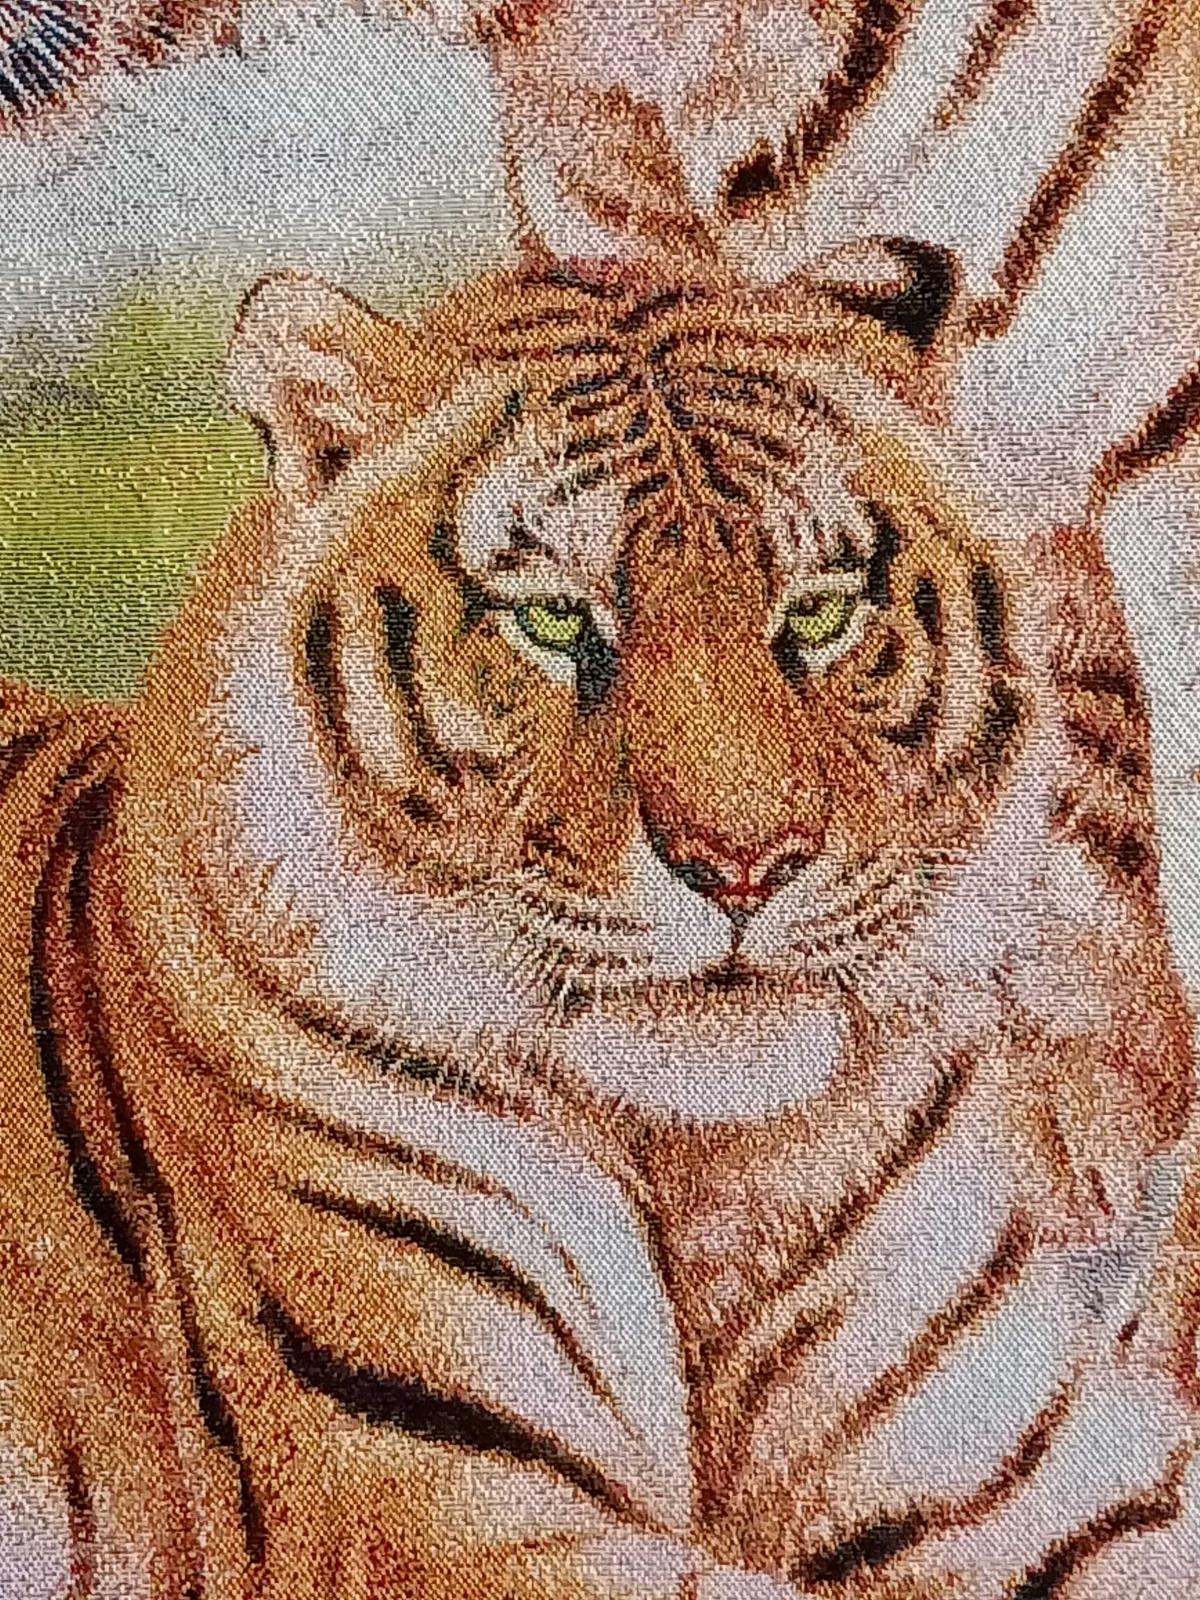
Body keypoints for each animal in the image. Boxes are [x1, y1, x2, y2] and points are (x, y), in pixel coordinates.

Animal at [4, 255, 1200, 1599]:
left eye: (819, 614)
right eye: (555, 620)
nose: (743, 866)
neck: (698, 1165)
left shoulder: (1009, 1451)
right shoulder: (433, 1495)